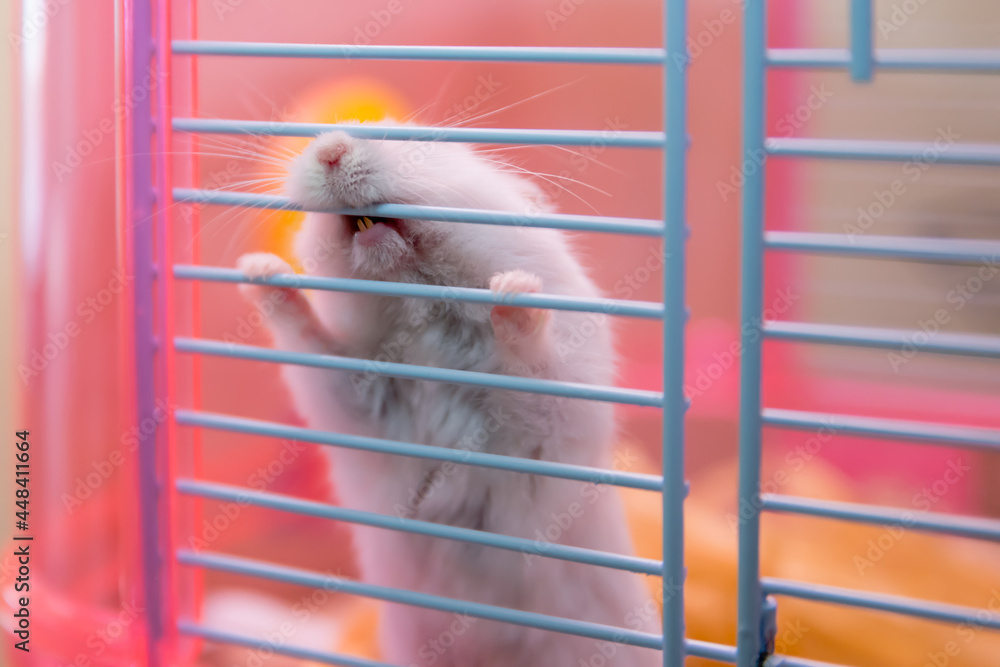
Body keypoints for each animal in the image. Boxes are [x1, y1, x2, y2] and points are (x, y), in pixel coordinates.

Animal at [236, 121, 661, 667]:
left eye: (417, 141)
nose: (329, 150)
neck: (423, 317)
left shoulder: (557, 407)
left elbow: (532, 363)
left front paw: (512, 289)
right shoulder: (352, 397)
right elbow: (308, 340)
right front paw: (259, 270)